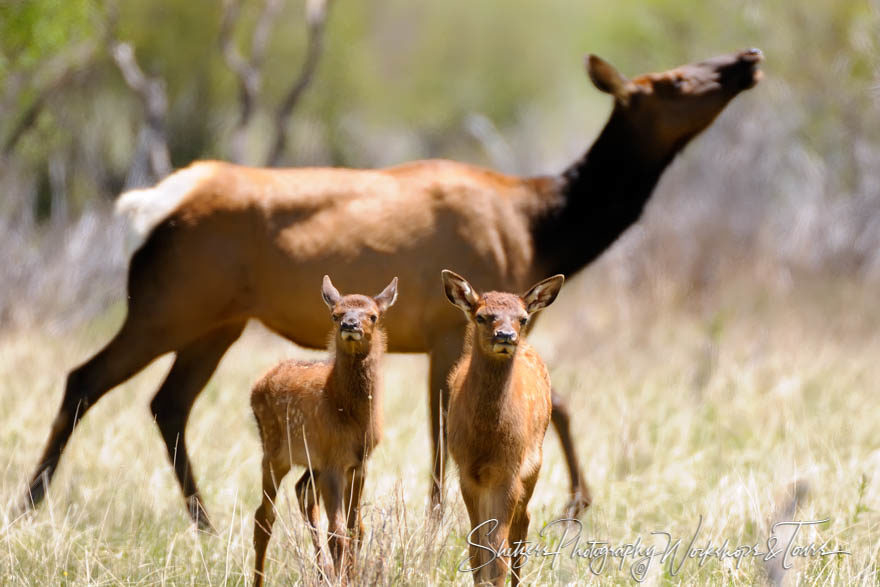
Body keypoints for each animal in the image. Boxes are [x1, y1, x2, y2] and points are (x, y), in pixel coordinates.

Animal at [20, 49, 764, 528]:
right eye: (673, 80)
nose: (746, 59)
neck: (542, 229)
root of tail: (152, 206)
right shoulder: (451, 327)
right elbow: (453, 429)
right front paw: (518, 508)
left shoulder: (480, 327)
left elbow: (555, 403)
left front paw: (572, 500)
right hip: (168, 304)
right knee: (85, 377)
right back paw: (31, 499)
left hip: (217, 321)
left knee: (166, 402)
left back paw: (202, 518)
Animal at [249, 276, 398, 587]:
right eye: (335, 314)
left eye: (373, 316)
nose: (350, 325)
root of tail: (259, 383)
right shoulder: (333, 463)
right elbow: (338, 532)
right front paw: (343, 578)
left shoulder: (358, 464)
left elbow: (356, 529)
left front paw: (350, 576)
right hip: (273, 451)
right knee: (264, 517)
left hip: (310, 461)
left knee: (302, 491)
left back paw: (323, 571)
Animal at [440, 268, 564, 584]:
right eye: (483, 316)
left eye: (522, 318)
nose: (506, 335)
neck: (487, 440)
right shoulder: (466, 473)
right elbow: (476, 550)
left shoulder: (508, 471)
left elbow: (498, 553)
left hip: (533, 464)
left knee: (522, 528)